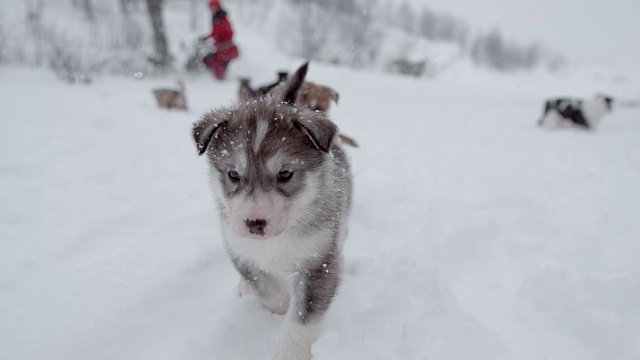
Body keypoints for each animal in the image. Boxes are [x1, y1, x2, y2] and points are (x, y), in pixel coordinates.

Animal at [192, 62, 352, 360]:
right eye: (233, 174)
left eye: (285, 174)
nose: (255, 222)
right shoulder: (240, 251)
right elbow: (267, 291)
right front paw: (278, 309)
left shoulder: (320, 261)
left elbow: (301, 322)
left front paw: (290, 350)